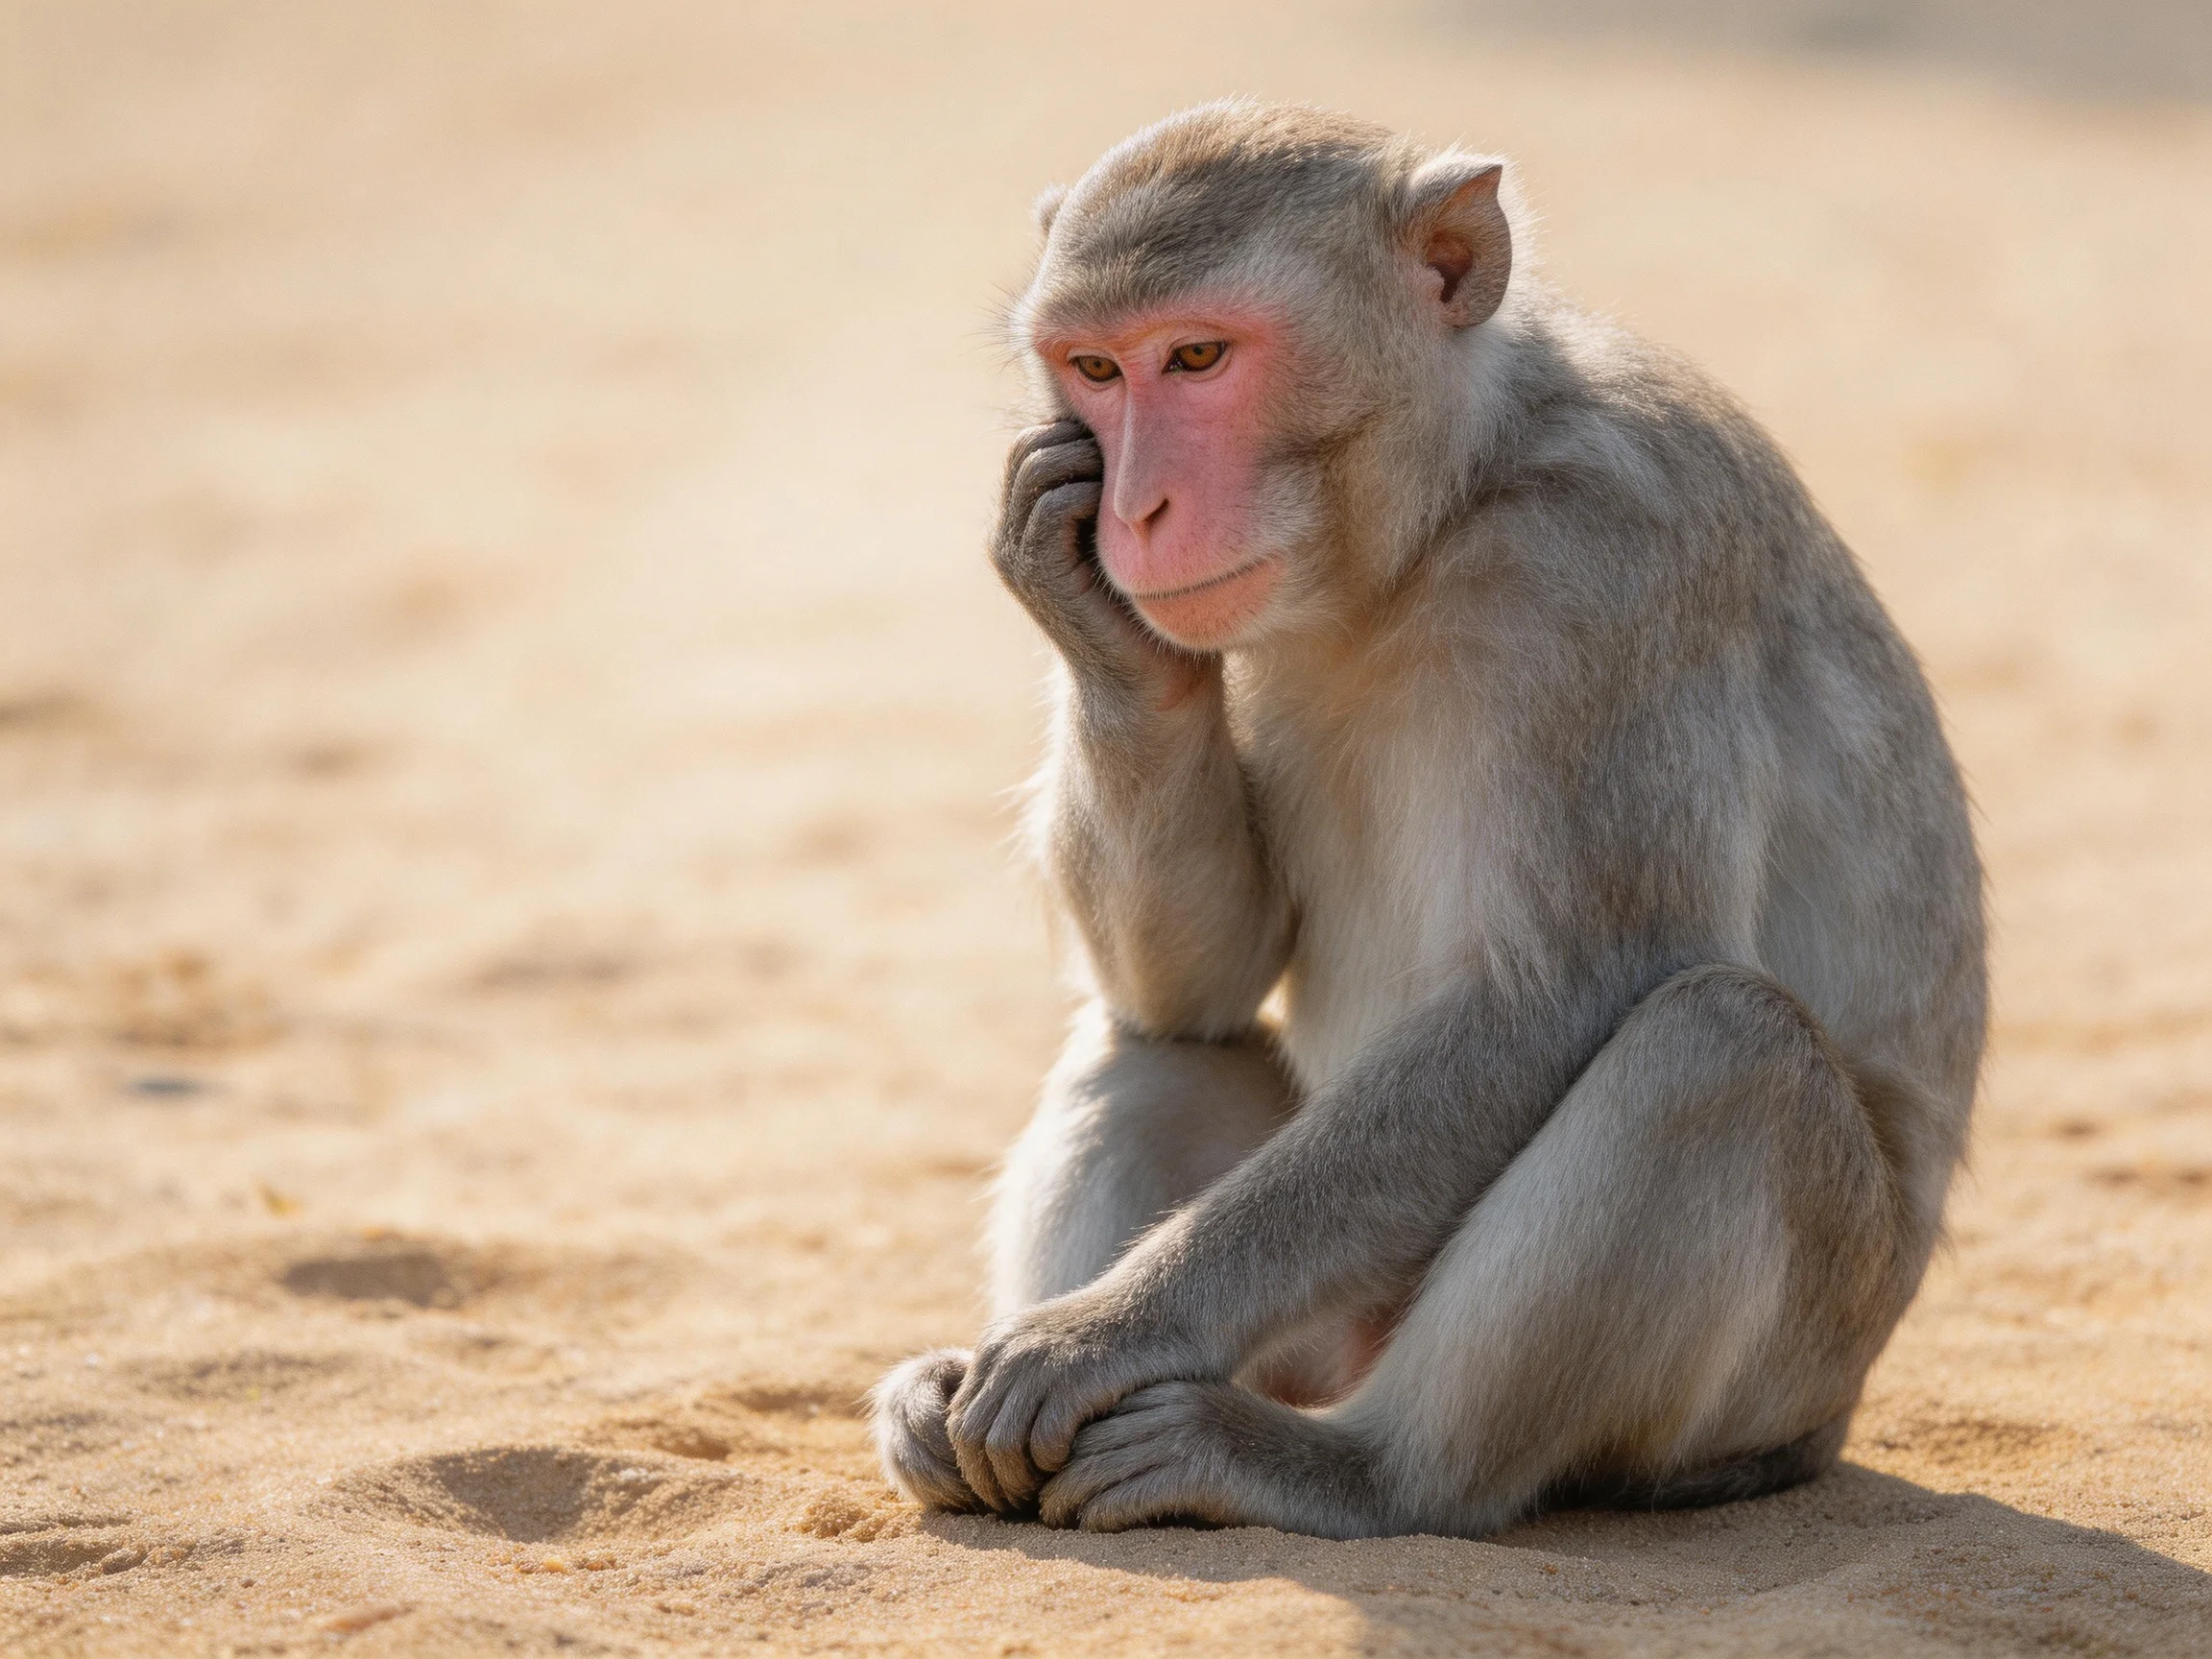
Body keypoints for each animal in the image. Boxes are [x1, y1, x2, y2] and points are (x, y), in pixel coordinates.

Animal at [871, 100, 1985, 1540]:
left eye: (1197, 357)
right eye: (1095, 371)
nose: (1131, 510)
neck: (1438, 515)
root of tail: (1830, 1419)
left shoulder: (1605, 563)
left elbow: (1560, 991)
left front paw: (1103, 1333)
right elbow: (1202, 986)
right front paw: (1082, 611)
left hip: (1776, 1378)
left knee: (1722, 1049)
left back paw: (1354, 1470)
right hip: (1316, 1328)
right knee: (1154, 1043)